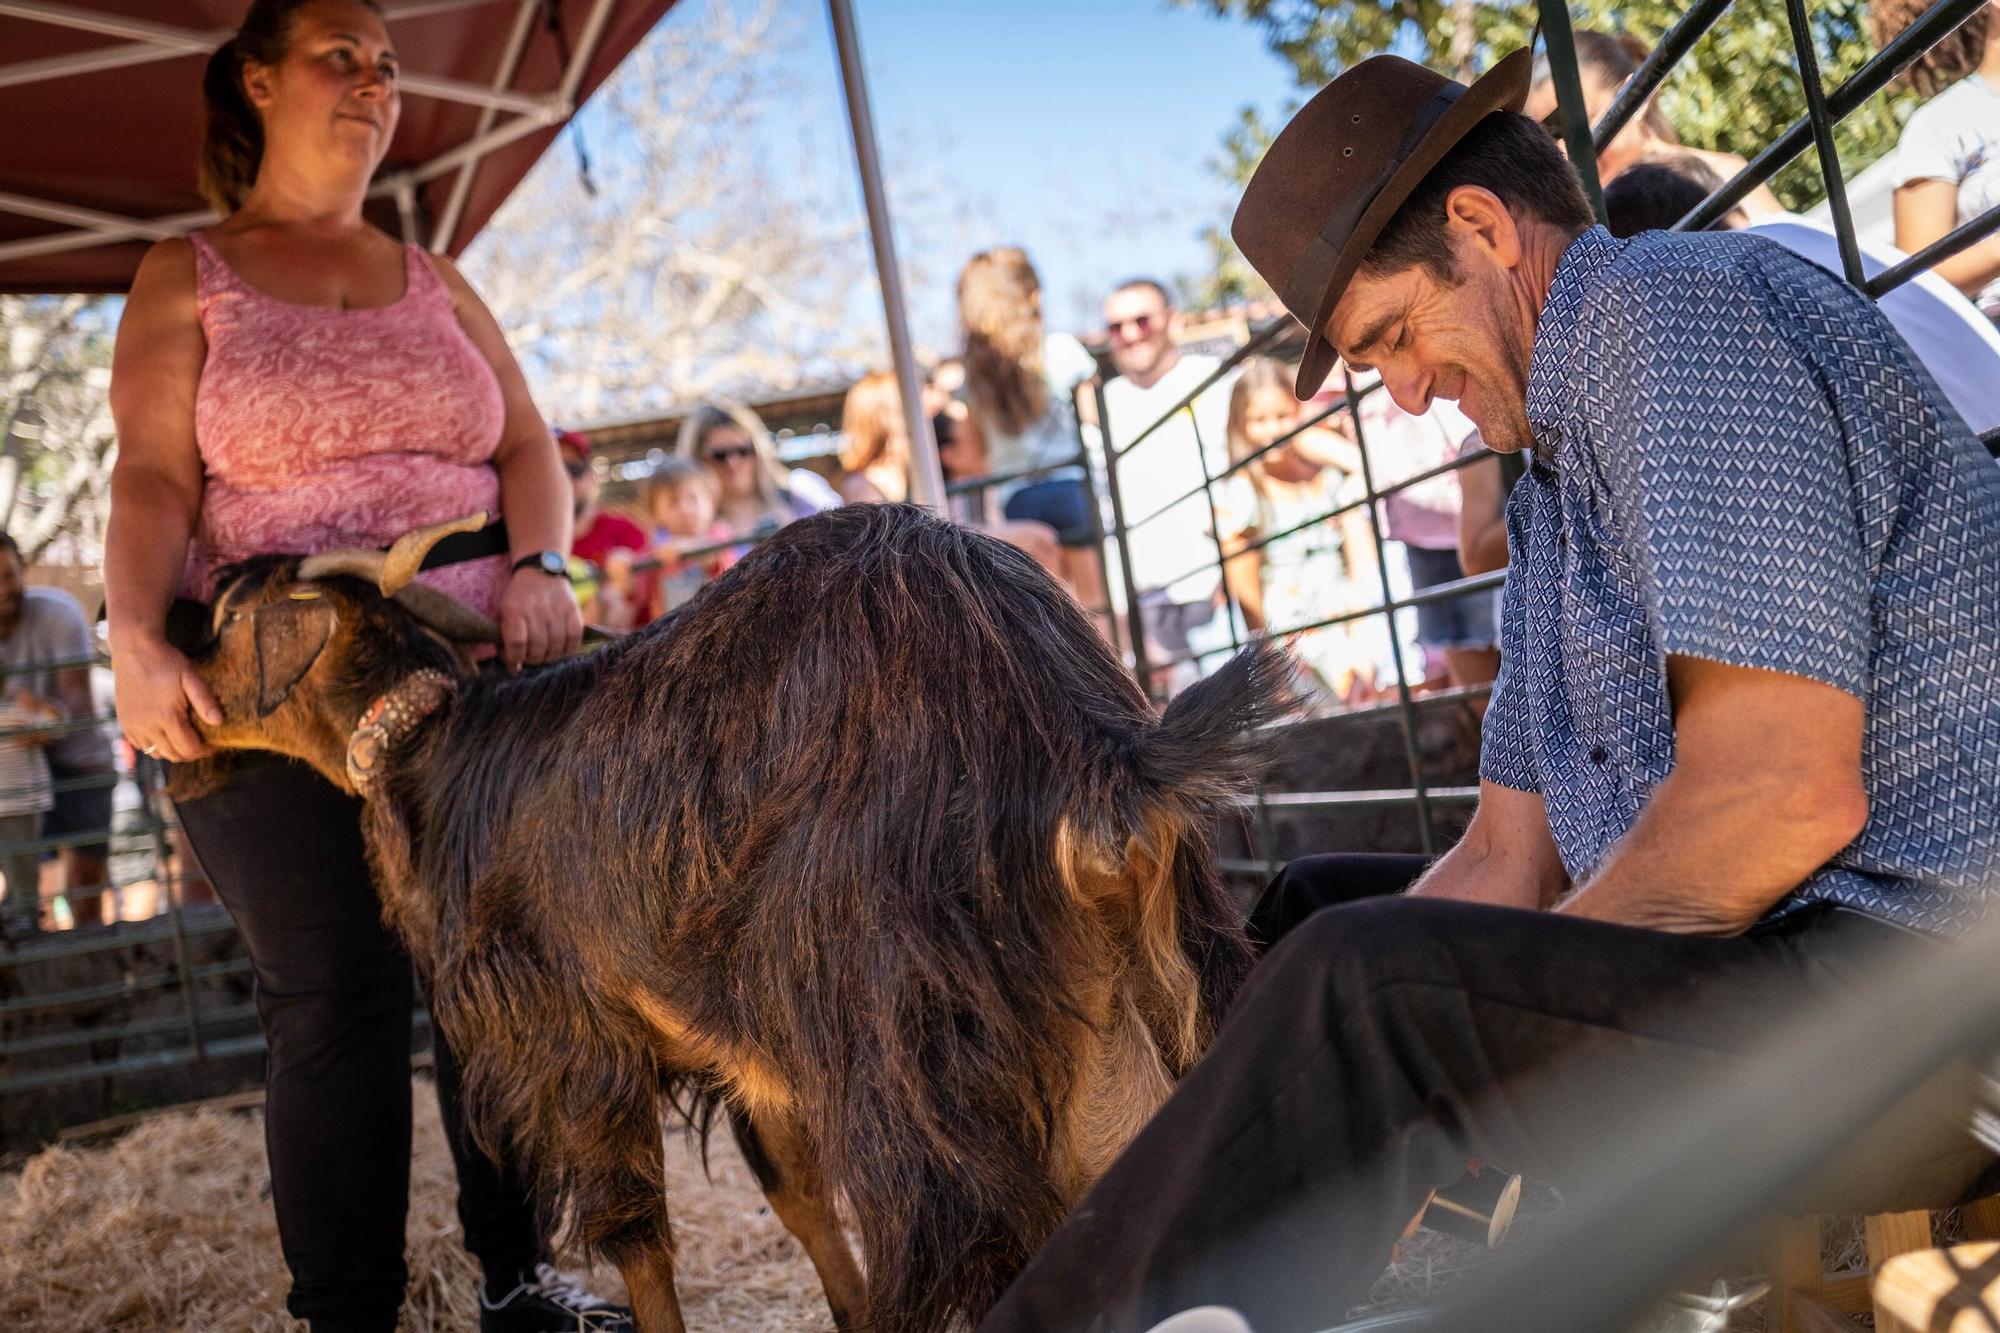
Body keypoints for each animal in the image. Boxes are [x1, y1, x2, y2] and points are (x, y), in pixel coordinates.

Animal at [184, 500, 1280, 1328]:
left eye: (229, 610)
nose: (170, 708)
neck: (438, 748)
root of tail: (1085, 753)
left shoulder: (573, 1037)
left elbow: (639, 1234)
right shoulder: (746, 1047)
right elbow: (796, 1196)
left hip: (907, 1040)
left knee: (980, 1235)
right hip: (1143, 991)